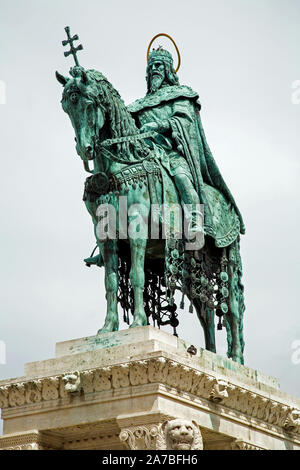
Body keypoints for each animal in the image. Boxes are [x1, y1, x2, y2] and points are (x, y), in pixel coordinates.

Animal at [56, 65, 246, 364]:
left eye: (88, 104)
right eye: (66, 107)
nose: (84, 149)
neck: (117, 165)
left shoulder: (136, 228)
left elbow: (136, 274)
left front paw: (137, 324)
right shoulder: (105, 235)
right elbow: (110, 281)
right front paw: (108, 328)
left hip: (228, 257)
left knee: (233, 308)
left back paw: (235, 358)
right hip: (195, 269)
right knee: (205, 311)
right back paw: (211, 354)